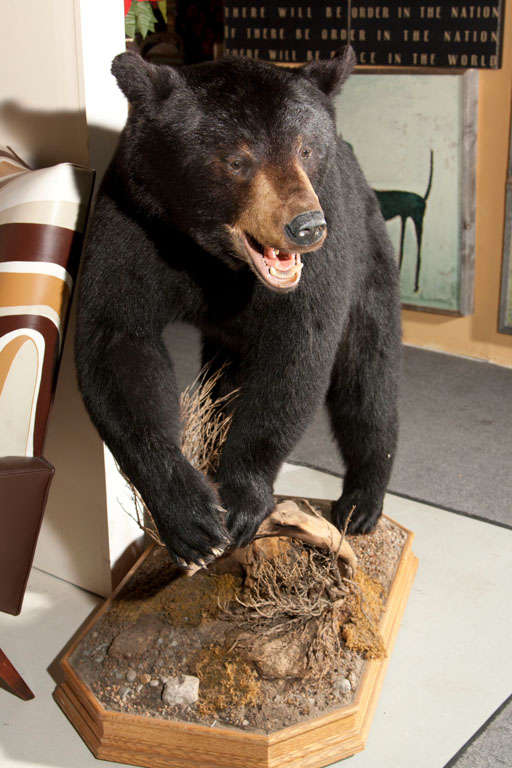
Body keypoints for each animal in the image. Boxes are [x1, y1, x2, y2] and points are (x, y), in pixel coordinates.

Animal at [75, 46, 401, 567]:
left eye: (306, 149)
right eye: (236, 160)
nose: (305, 227)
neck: (212, 258)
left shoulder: (325, 251)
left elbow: (298, 349)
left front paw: (245, 497)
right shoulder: (132, 219)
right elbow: (117, 340)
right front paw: (190, 519)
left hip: (368, 253)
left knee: (368, 373)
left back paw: (362, 503)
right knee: (225, 381)